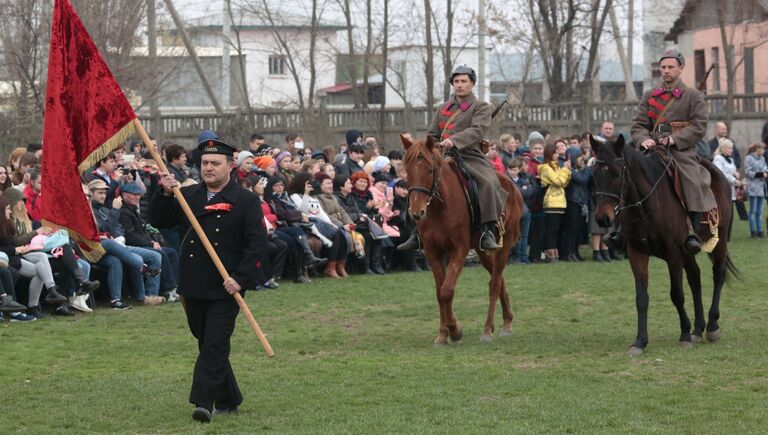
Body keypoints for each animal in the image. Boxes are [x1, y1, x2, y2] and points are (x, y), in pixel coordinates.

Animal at [400, 135, 524, 346]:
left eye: (430, 170)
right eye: (407, 170)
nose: (417, 212)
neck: (440, 207)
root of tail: (512, 185)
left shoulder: (460, 250)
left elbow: (447, 291)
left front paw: (454, 330)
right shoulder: (433, 252)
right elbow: (439, 292)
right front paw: (443, 334)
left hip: (504, 247)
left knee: (494, 284)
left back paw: (488, 330)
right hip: (482, 252)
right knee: (498, 280)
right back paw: (506, 321)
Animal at [588, 136, 736, 358]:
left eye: (616, 173)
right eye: (594, 174)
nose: (602, 218)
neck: (647, 205)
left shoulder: (673, 254)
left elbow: (677, 295)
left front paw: (684, 335)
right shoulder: (637, 253)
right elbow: (641, 298)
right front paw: (640, 341)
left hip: (719, 241)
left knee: (718, 274)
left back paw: (711, 326)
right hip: (688, 252)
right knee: (695, 278)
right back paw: (698, 329)